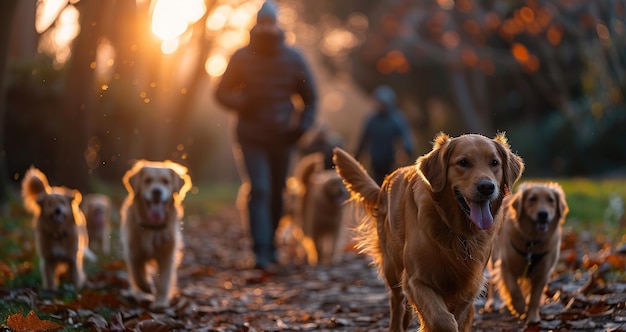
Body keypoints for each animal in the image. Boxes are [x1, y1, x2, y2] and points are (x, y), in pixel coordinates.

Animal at [332, 133, 520, 332]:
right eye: (463, 162)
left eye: (494, 162)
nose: (487, 187)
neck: (457, 232)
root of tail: (386, 182)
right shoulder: (417, 280)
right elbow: (442, 320)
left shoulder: (469, 284)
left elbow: (458, 316)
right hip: (392, 265)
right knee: (397, 302)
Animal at [482, 182, 564, 324]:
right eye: (532, 199)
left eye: (551, 200)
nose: (543, 214)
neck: (532, 241)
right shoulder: (505, 266)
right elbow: (514, 290)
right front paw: (518, 307)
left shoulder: (543, 272)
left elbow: (535, 297)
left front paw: (532, 317)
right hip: (494, 258)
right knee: (493, 281)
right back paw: (492, 303)